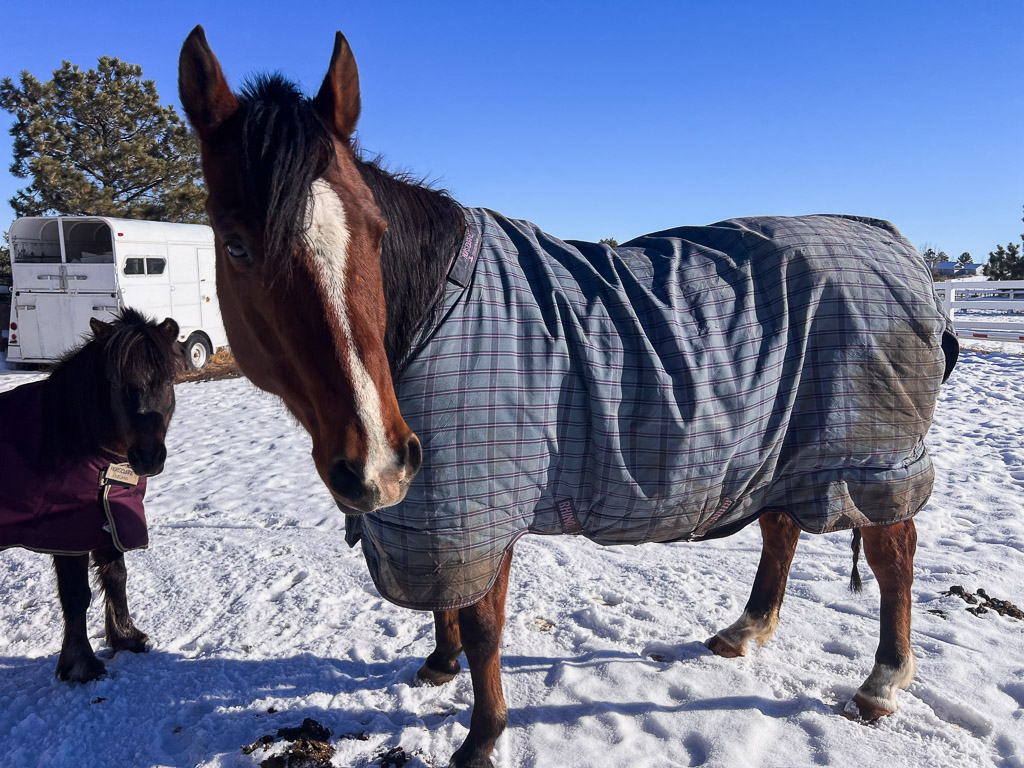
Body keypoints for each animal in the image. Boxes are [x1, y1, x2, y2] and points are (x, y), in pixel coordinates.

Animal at [0, 308, 181, 682]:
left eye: (168, 380)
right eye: (114, 384)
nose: (148, 457)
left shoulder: (108, 518)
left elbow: (116, 577)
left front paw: (126, 637)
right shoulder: (67, 534)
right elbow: (76, 596)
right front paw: (81, 664)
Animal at [179, 27, 958, 767]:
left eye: (376, 233)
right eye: (237, 244)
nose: (377, 462)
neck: (438, 311)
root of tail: (889, 240)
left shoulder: (480, 509)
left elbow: (484, 626)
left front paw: (482, 736)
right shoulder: (433, 514)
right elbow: (447, 604)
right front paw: (438, 665)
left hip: (870, 462)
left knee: (893, 557)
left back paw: (883, 681)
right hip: (779, 452)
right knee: (781, 532)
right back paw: (746, 630)